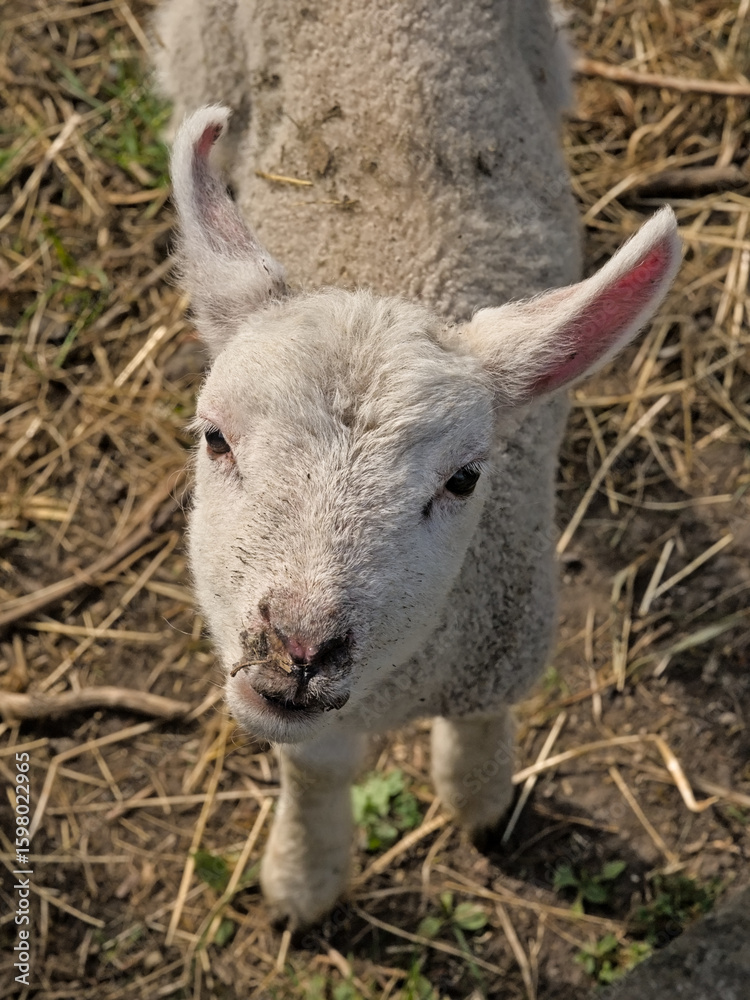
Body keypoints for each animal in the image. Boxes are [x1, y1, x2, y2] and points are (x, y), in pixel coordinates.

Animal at [157, 0, 681, 927]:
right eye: (215, 437)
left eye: (464, 478)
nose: (297, 647)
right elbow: (313, 772)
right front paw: (304, 877)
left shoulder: (505, 637)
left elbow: (480, 730)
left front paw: (480, 801)